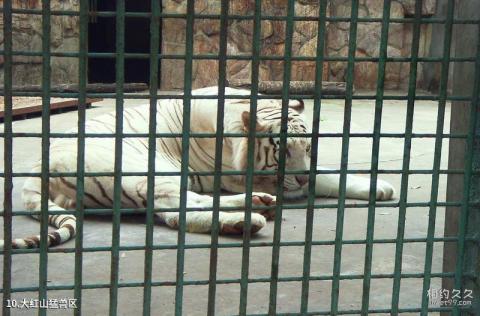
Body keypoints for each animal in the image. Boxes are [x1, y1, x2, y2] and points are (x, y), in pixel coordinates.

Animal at [0, 87, 394, 249]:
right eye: (282, 153)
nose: (300, 177)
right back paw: (249, 217)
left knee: (177, 210)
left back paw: (253, 210)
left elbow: (329, 173)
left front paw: (380, 187)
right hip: (144, 169)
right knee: (176, 209)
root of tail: (36, 168)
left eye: (308, 147)